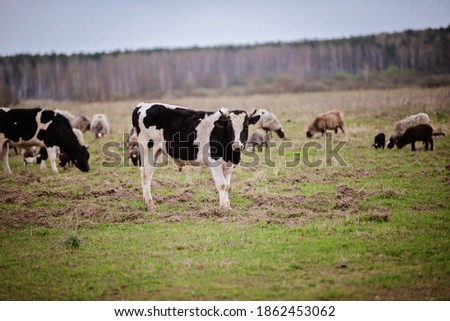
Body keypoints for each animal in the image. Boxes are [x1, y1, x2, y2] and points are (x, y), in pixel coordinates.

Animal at [131, 101, 260, 209]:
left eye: (246, 127)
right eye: (229, 127)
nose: (237, 145)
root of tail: (142, 105)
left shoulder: (229, 165)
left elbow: (227, 185)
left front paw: (227, 206)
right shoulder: (214, 161)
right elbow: (222, 184)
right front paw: (223, 207)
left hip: (155, 152)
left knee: (146, 173)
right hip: (148, 149)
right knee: (146, 174)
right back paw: (150, 204)